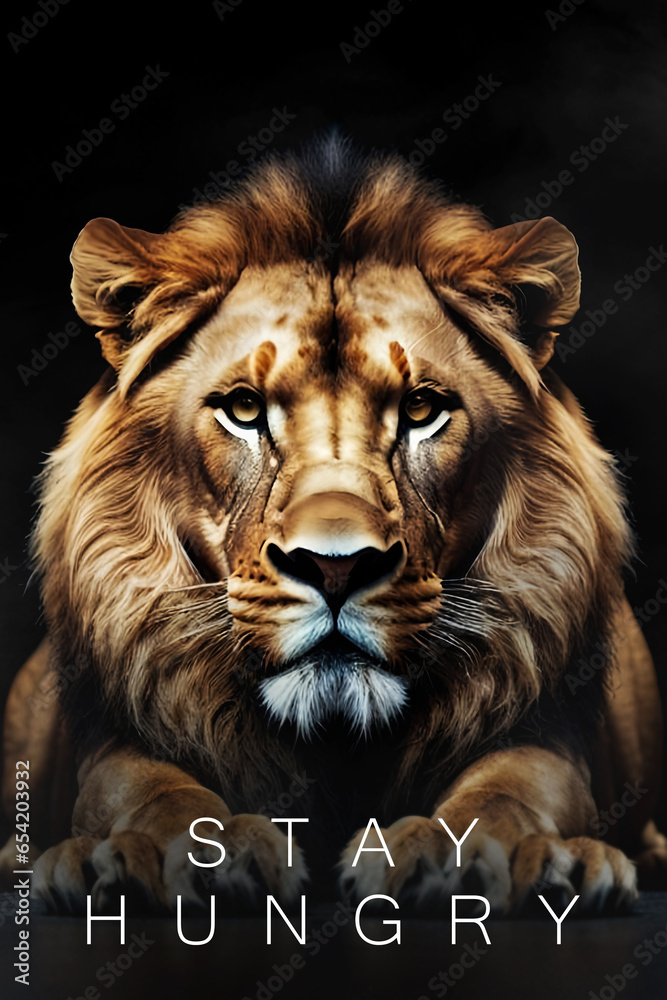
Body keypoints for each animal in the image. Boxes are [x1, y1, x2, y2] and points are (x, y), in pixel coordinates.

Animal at [1, 137, 665, 917]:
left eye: (421, 409)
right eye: (244, 409)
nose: (336, 567)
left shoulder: (545, 736)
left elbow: (510, 786)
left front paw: (456, 856)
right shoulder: (120, 747)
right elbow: (149, 791)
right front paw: (182, 855)